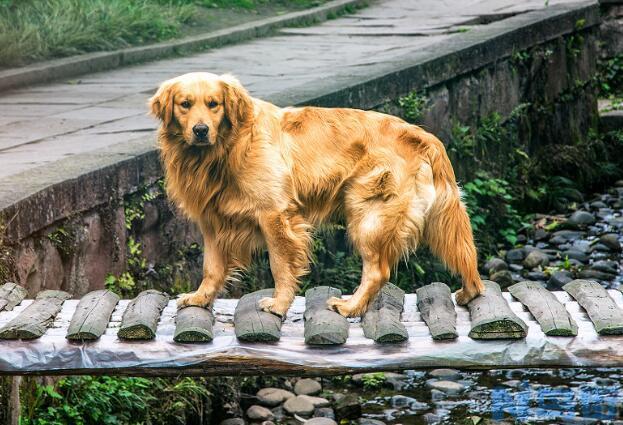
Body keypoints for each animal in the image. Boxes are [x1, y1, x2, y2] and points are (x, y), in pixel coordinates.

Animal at [149, 73, 486, 316]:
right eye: (185, 104)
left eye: (214, 104)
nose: (201, 130)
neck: (229, 147)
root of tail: (423, 135)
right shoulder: (212, 221)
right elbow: (211, 267)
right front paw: (200, 298)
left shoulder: (275, 215)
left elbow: (280, 266)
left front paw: (278, 305)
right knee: (464, 255)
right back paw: (469, 291)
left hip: (368, 215)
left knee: (378, 271)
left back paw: (350, 306)